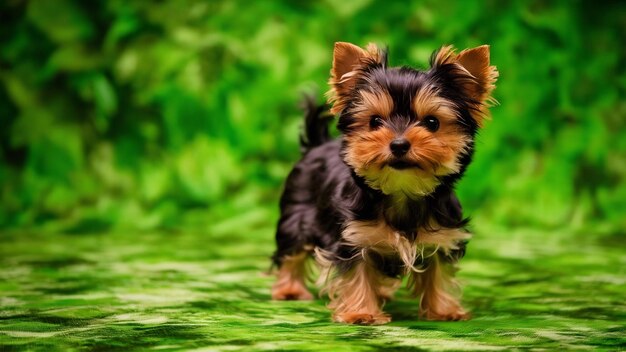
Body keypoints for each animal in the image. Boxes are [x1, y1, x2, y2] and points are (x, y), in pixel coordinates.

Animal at [270, 42, 494, 324]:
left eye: (432, 122)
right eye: (375, 121)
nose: (398, 144)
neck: (401, 191)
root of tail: (317, 144)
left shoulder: (443, 236)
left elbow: (439, 273)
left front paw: (444, 310)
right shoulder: (353, 238)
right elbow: (357, 274)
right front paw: (361, 312)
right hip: (296, 214)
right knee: (292, 251)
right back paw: (289, 290)